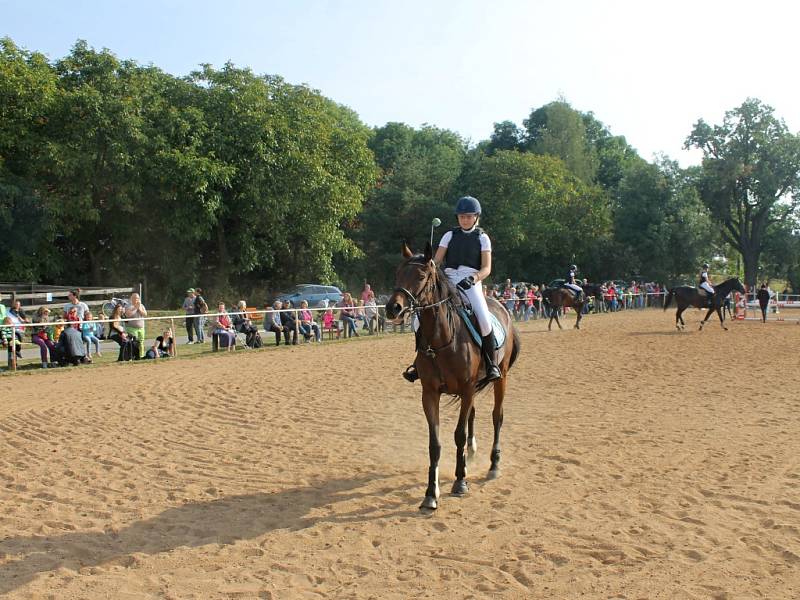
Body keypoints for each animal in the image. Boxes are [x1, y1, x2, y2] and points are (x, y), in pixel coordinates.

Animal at [384, 243, 520, 510]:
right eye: (397, 273)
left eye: (421, 276)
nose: (393, 308)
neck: (441, 341)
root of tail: (502, 307)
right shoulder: (430, 393)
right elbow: (435, 443)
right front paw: (430, 493)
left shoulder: (466, 389)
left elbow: (459, 434)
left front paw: (460, 482)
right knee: (473, 416)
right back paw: (472, 455)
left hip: (501, 378)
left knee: (496, 417)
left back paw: (493, 465)